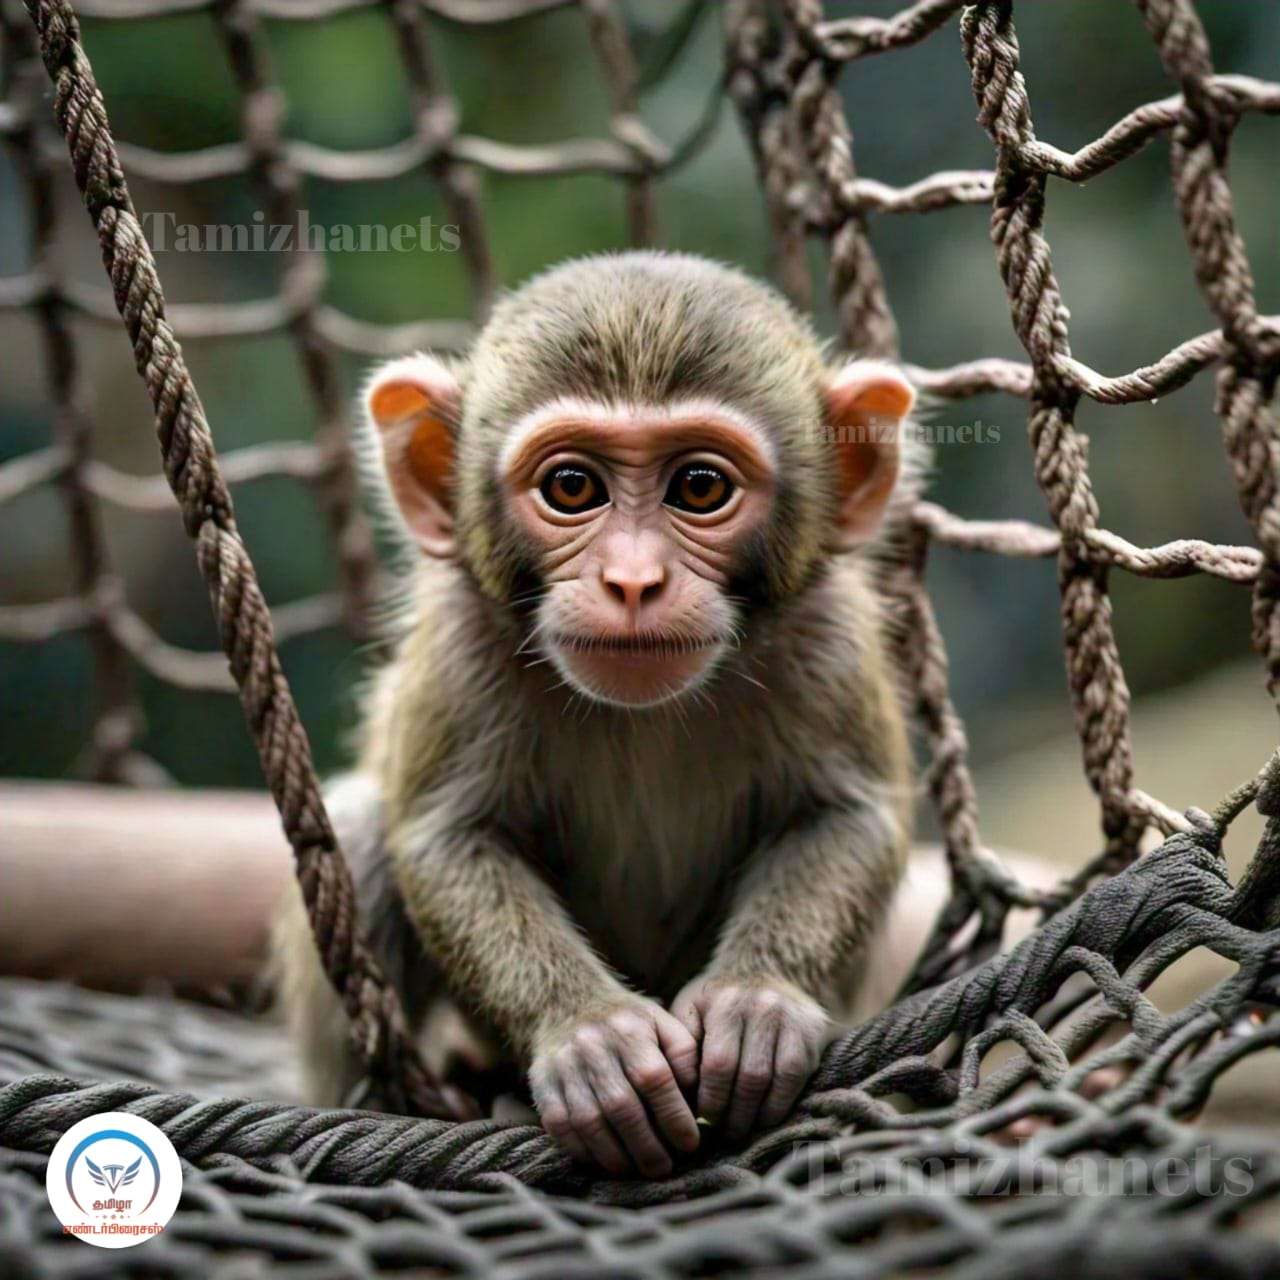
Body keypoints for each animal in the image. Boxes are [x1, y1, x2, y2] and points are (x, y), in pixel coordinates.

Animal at [273, 251, 920, 1178]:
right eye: (573, 486)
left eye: (699, 487)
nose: (633, 580)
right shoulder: (462, 650)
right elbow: (445, 837)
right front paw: (590, 1034)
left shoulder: (827, 639)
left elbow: (847, 816)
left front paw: (756, 1000)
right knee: (360, 834)